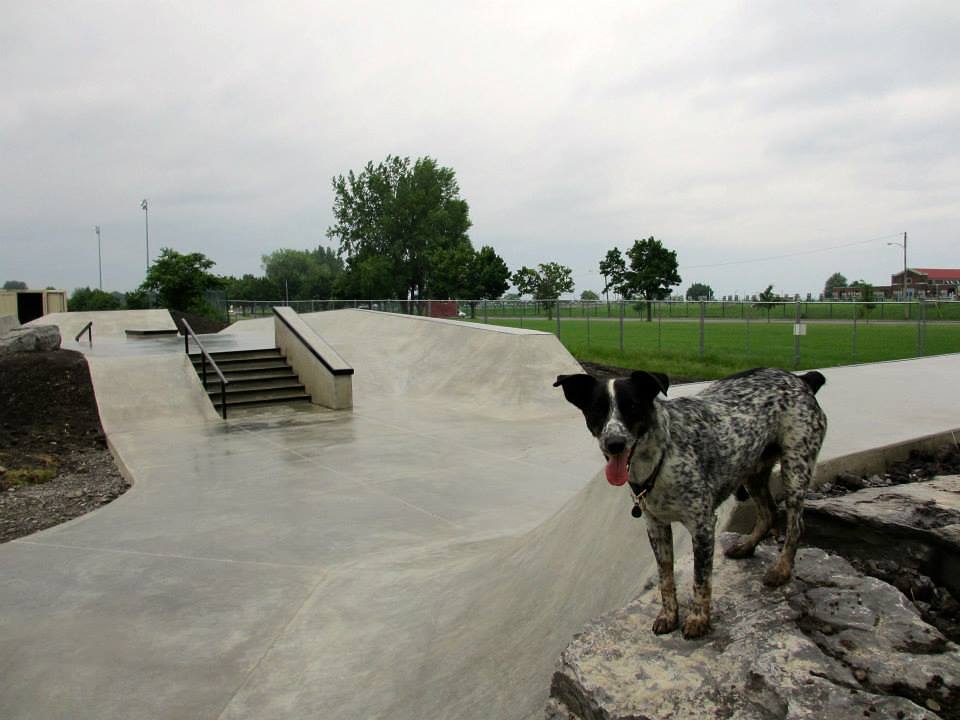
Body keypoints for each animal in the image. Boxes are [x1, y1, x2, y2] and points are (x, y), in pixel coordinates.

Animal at [556, 368, 824, 640]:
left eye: (632, 406)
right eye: (597, 409)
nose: (614, 443)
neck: (662, 457)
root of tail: (800, 378)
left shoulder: (702, 526)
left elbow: (701, 579)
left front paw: (698, 619)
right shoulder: (656, 527)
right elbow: (665, 578)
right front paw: (668, 615)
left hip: (795, 469)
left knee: (796, 525)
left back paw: (781, 569)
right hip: (753, 471)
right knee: (768, 512)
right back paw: (746, 547)